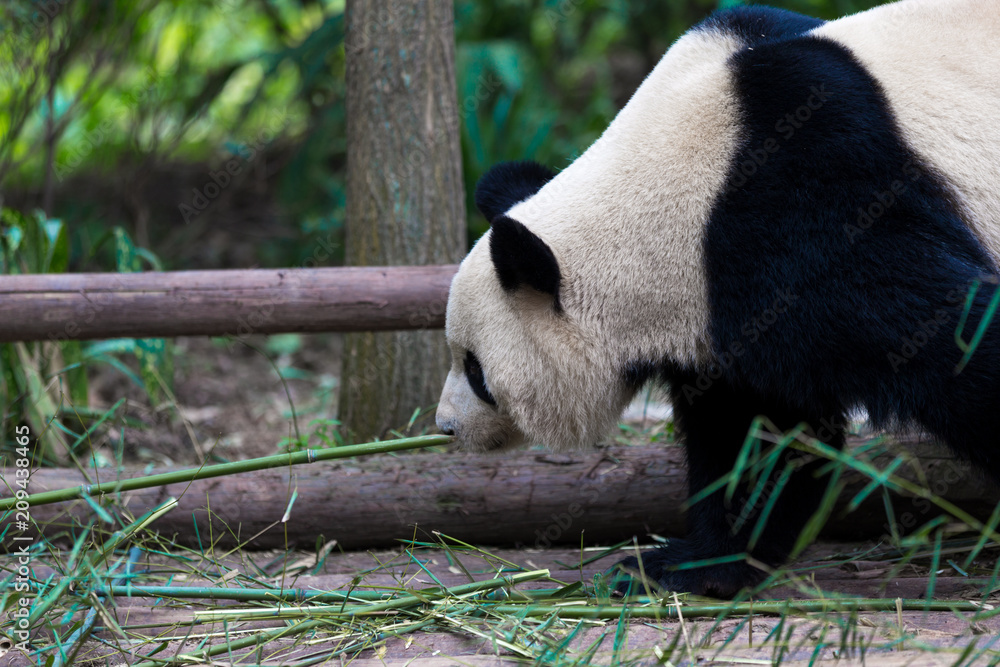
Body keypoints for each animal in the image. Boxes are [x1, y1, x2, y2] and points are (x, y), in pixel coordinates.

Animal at [434, 0, 1000, 600]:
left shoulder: (817, 200)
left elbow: (953, 339)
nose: (447, 427)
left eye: (475, 369)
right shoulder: (732, 308)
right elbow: (755, 433)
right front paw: (698, 561)